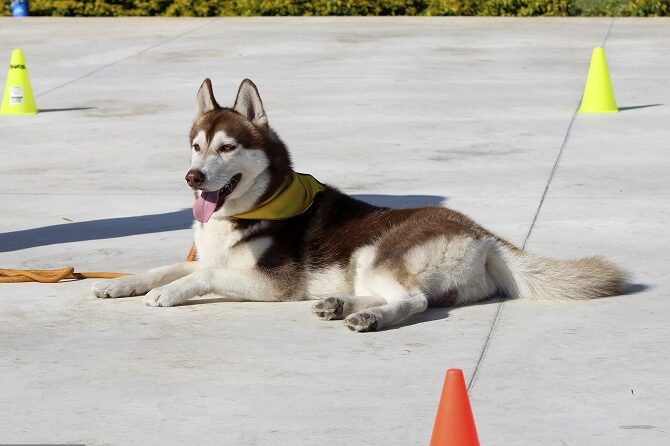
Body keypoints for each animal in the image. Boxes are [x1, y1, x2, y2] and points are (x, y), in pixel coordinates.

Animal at [93, 79, 632, 332]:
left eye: (227, 148)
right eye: (195, 146)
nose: (193, 177)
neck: (254, 207)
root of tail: (482, 234)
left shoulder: (271, 283)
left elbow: (199, 274)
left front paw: (167, 294)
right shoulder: (215, 257)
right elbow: (167, 266)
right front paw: (119, 284)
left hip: (378, 251)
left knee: (414, 301)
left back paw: (367, 319)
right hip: (365, 266)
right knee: (396, 295)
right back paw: (340, 305)